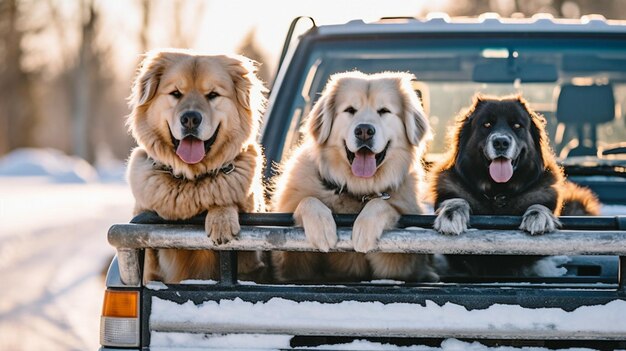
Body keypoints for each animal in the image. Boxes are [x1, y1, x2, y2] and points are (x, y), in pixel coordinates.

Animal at [125, 49, 264, 284]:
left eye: (213, 95)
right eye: (176, 93)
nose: (190, 118)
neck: (191, 178)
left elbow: (224, 196)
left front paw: (222, 220)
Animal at [270, 71, 436, 284]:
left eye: (384, 111)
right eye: (350, 110)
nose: (364, 131)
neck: (357, 189)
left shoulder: (400, 263)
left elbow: (382, 204)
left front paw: (365, 229)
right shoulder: (290, 264)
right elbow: (307, 201)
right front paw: (322, 227)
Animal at [428, 95, 596, 276]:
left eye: (517, 125)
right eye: (487, 124)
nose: (501, 142)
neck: (498, 194)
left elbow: (539, 205)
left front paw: (539, 216)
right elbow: (457, 200)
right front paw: (451, 214)